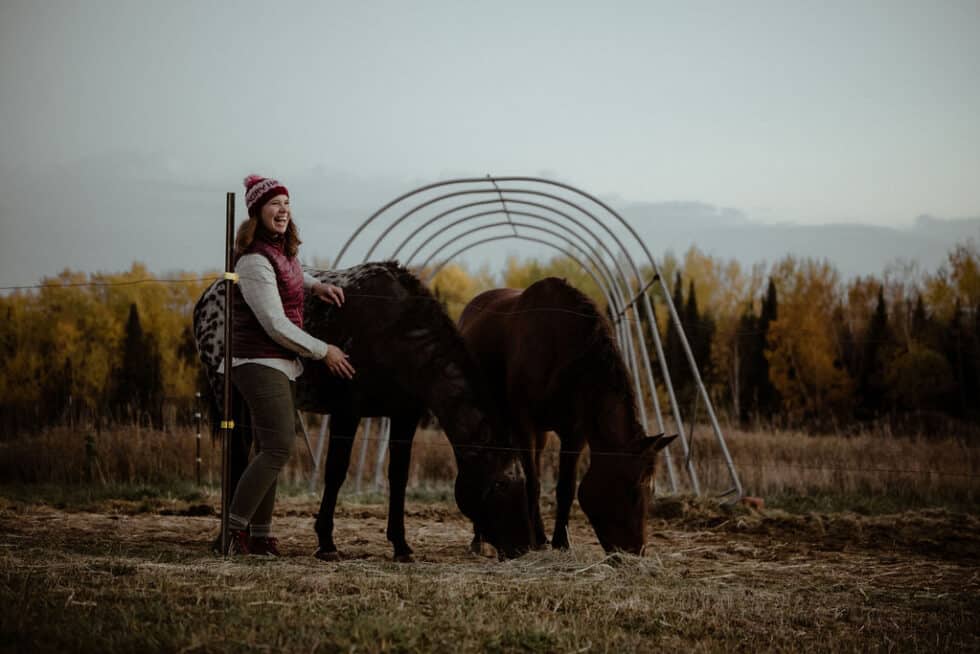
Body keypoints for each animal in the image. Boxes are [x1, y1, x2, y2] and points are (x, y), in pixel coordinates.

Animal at [194, 264, 532, 560]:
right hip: (229, 391)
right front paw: (326, 542)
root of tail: (209, 295)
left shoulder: (404, 416)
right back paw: (229, 537)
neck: (396, 333)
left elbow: (398, 476)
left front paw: (401, 545)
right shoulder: (346, 412)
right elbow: (336, 472)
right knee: (238, 456)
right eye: (500, 484)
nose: (521, 547)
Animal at [458, 280, 672, 556]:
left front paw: (561, 541)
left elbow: (566, 487)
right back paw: (480, 539)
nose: (636, 551)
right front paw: (536, 539)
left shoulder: (574, 432)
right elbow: (533, 483)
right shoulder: (524, 424)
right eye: (632, 489)